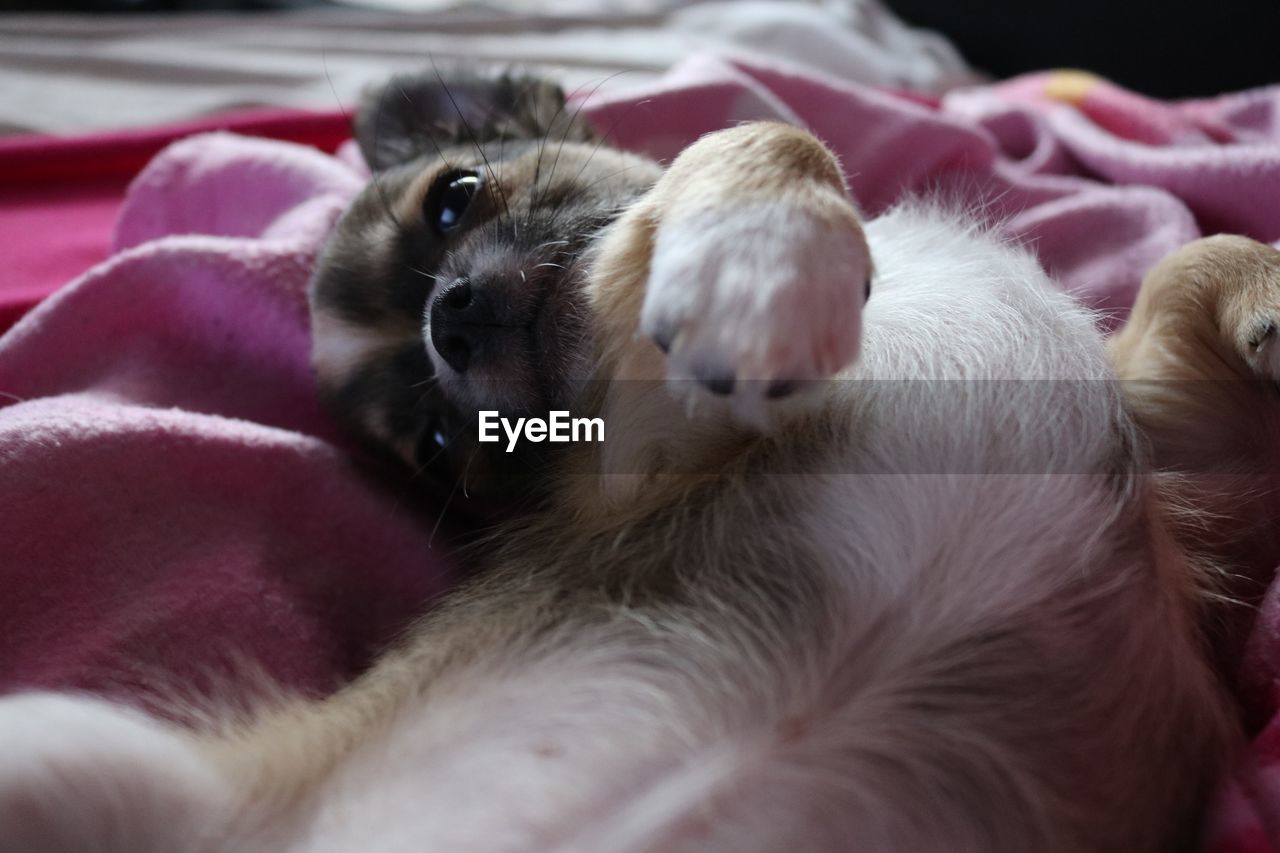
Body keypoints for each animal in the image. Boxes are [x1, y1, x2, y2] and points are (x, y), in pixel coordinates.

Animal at [2, 69, 1280, 845]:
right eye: (444, 443)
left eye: (454, 199)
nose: (450, 319)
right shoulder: (650, 450)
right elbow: (768, 132)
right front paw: (761, 269)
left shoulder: (1199, 483)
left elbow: (1196, 253)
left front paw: (1266, 292)